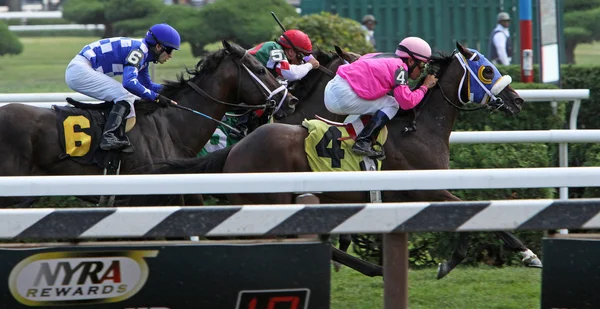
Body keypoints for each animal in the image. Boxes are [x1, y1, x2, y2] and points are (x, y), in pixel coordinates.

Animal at [136, 42, 544, 276]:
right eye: (487, 70)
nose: (518, 101)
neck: (419, 128)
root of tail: (235, 150)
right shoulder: (421, 187)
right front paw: (527, 254)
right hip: (268, 203)